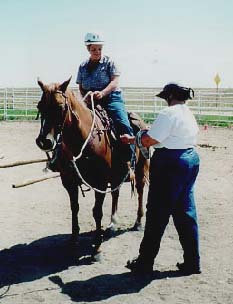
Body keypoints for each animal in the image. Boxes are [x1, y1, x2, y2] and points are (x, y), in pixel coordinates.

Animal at [36, 77, 149, 258]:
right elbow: (74, 208)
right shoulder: (69, 181)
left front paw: (97, 247)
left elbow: (97, 211)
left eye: (60, 106)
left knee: (139, 191)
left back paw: (138, 222)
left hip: (140, 168)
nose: (44, 141)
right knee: (116, 193)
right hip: (116, 174)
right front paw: (73, 240)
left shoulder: (100, 182)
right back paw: (112, 224)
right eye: (39, 106)